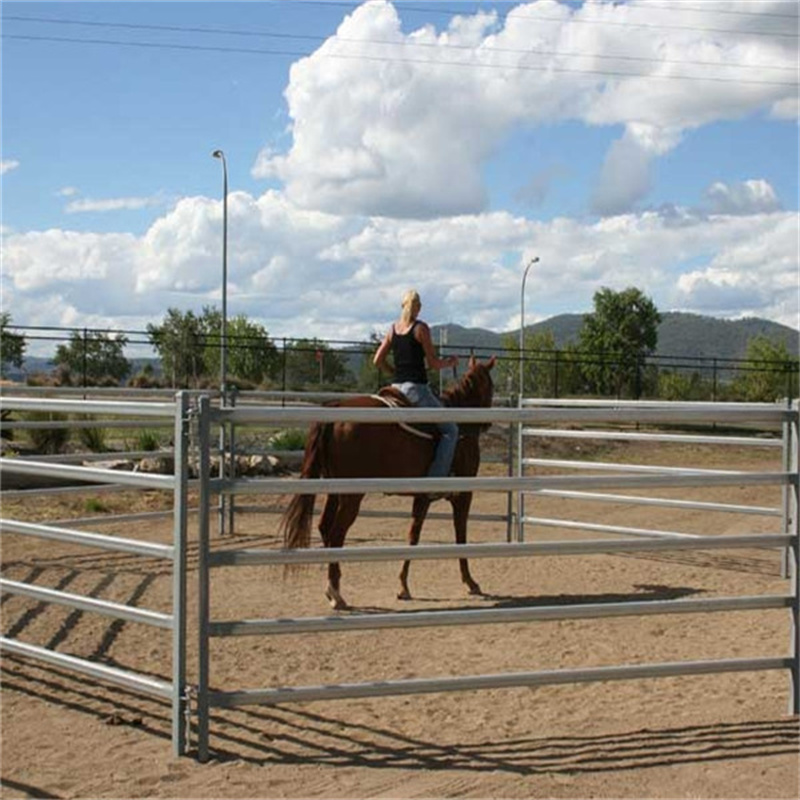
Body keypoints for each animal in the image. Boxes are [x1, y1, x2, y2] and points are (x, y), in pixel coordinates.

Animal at [280, 354, 494, 608]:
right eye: (491, 385)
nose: (488, 424)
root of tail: (335, 409)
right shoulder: (463, 495)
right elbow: (460, 535)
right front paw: (471, 582)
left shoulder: (422, 497)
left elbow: (413, 535)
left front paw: (403, 586)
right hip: (351, 496)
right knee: (336, 533)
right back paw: (336, 593)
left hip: (335, 490)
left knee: (325, 527)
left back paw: (334, 586)